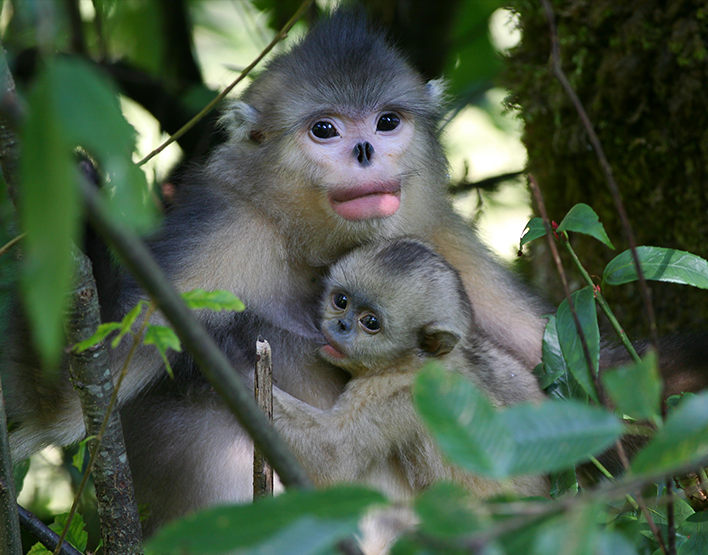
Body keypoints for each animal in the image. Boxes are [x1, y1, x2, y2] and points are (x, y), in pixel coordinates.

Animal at [272, 239, 548, 500]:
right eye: (341, 301)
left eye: (370, 322)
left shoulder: (398, 397)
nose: (341, 324)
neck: (412, 362)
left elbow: (334, 456)